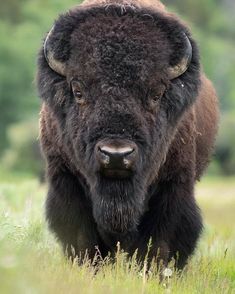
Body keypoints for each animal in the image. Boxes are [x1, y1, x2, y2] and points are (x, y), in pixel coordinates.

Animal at [36, 0, 218, 268]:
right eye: (78, 91)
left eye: (156, 94)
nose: (116, 155)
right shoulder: (65, 179)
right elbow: (82, 238)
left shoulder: (174, 185)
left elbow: (160, 241)